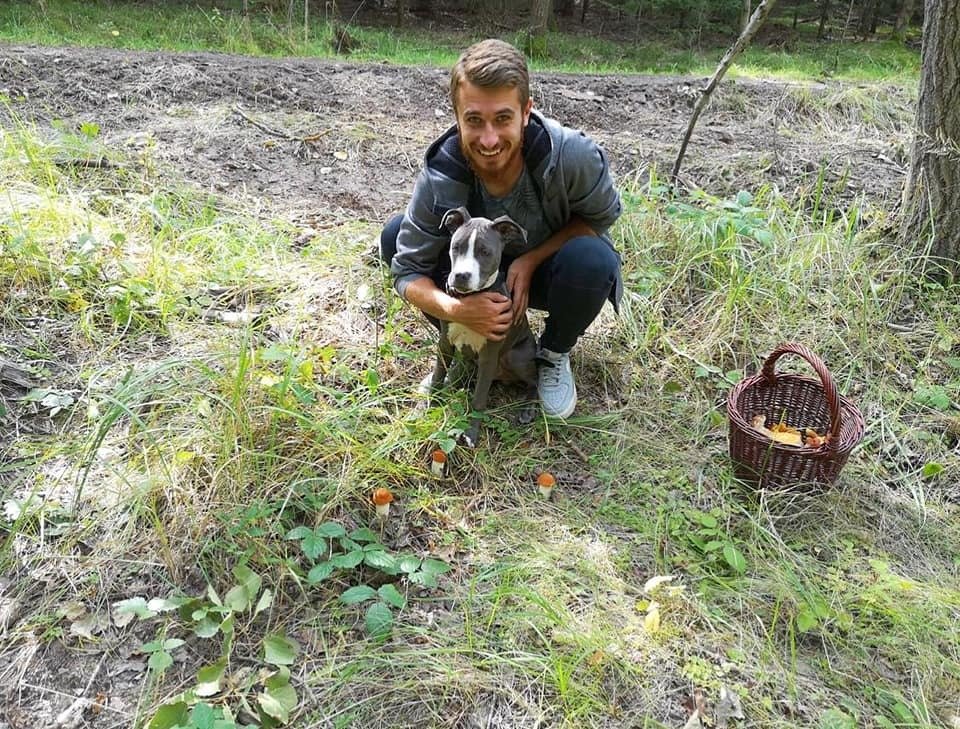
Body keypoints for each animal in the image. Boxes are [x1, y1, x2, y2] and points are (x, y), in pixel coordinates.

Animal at [430, 203, 540, 444]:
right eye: (456, 247)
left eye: (485, 252)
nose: (461, 275)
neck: (471, 299)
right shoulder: (445, 342)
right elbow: (438, 375)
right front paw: (431, 405)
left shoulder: (489, 354)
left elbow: (479, 398)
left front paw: (471, 433)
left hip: (515, 356)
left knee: (536, 380)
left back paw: (528, 408)